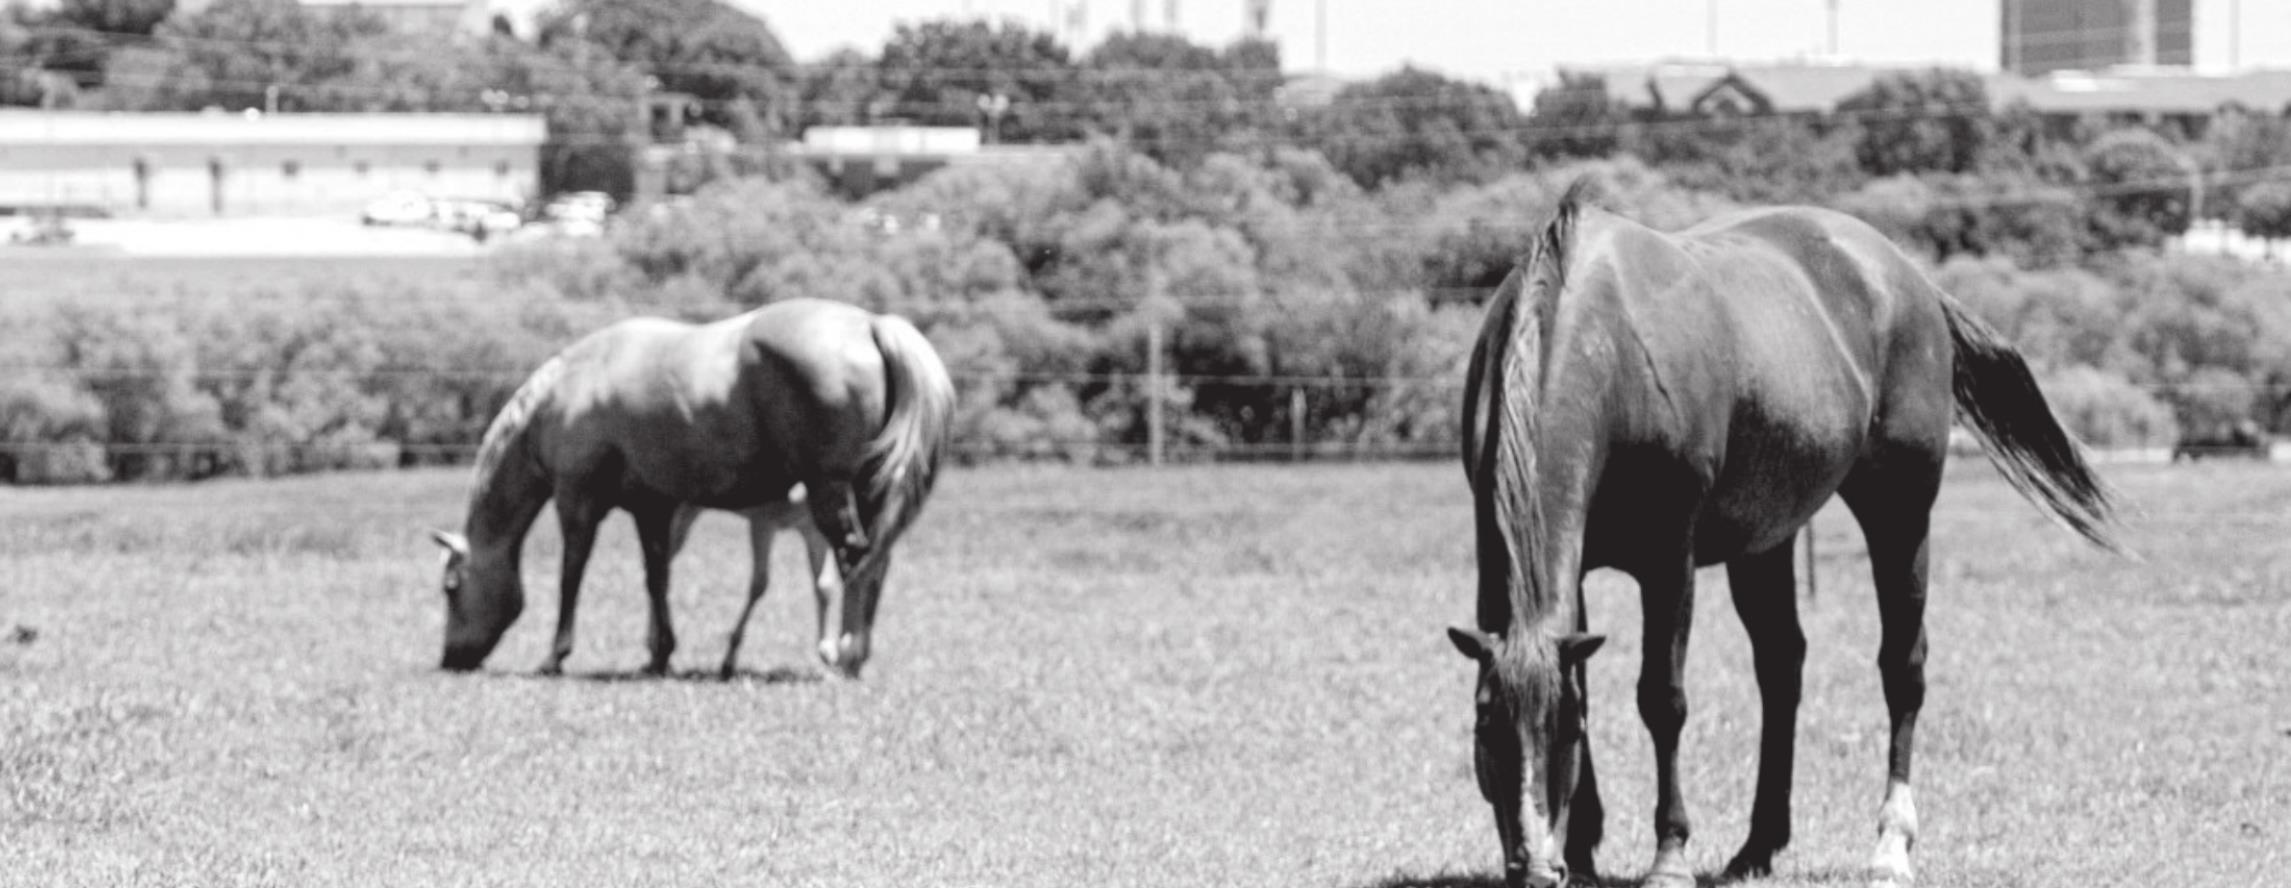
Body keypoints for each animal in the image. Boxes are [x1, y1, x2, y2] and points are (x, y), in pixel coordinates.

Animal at [428, 297, 955, 679]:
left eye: (451, 588)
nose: (450, 658)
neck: (569, 391)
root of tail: (871, 325)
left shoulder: (577, 501)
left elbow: (570, 575)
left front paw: (555, 655)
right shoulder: (652, 507)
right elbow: (656, 577)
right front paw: (659, 654)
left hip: (830, 490)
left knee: (854, 558)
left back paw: (846, 656)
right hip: (867, 488)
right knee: (875, 563)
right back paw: (855, 652)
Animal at [1453, 182, 2116, 888]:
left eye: (1564, 733)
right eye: (1485, 722)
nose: (1532, 866)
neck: (1607, 345)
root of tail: (1911, 279)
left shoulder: (1670, 560)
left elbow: (1662, 698)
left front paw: (1669, 854)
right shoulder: (1573, 567)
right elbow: (1587, 678)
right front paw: (1582, 849)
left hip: (1901, 515)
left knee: (1902, 667)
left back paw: (1891, 843)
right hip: (1766, 541)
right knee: (1781, 666)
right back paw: (1757, 847)